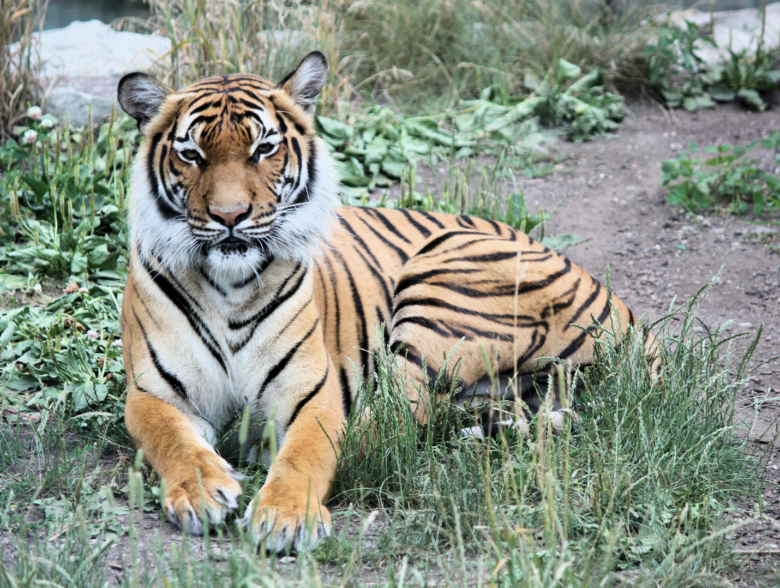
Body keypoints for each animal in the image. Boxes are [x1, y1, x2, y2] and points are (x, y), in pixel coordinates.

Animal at [116, 50, 656, 556]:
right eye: (192, 155)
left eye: (263, 148)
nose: (230, 216)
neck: (229, 284)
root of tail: (629, 314)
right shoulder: (152, 392)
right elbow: (174, 441)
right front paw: (201, 492)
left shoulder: (311, 393)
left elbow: (307, 453)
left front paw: (286, 517)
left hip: (442, 284)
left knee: (392, 426)